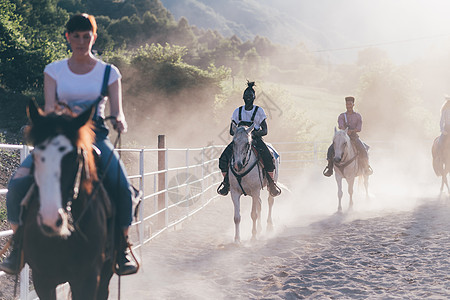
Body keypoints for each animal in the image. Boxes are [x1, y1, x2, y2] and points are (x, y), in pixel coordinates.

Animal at [22, 99, 114, 298]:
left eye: (74, 157)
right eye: (35, 155)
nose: (50, 218)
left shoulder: (87, 280)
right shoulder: (42, 280)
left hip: (106, 271)